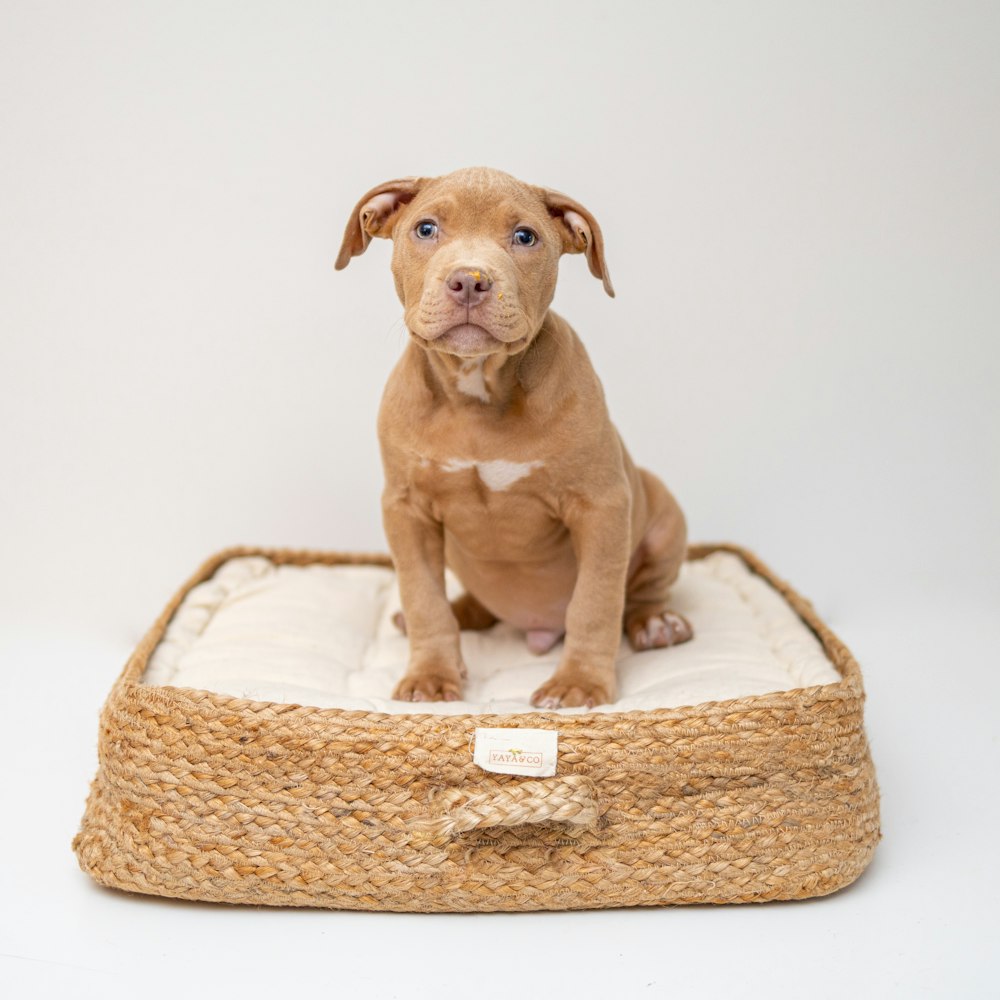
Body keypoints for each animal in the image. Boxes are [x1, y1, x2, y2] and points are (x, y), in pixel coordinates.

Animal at [334, 166, 688, 712]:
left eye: (525, 237)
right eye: (426, 229)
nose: (470, 280)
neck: (478, 391)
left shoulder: (602, 505)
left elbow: (595, 602)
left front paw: (579, 684)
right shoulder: (406, 509)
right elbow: (423, 597)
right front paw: (431, 675)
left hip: (664, 511)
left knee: (641, 593)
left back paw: (656, 623)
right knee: (466, 606)